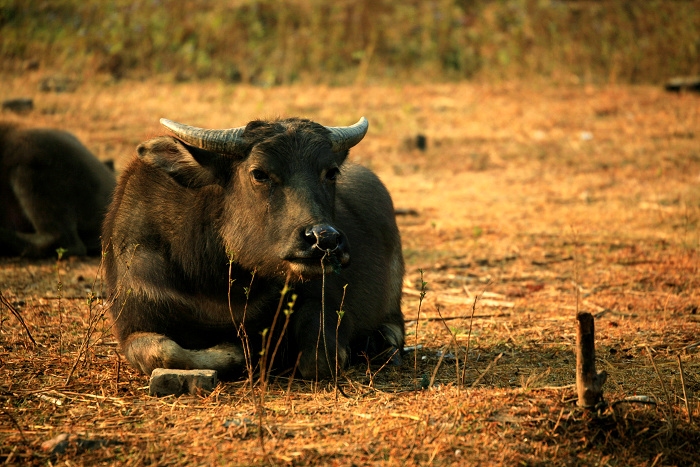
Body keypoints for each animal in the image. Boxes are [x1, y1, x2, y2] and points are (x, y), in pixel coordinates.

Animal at [101, 117, 402, 380]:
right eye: (259, 173)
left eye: (331, 172)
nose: (325, 240)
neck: (213, 282)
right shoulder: (133, 322)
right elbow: (164, 351)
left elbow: (320, 359)